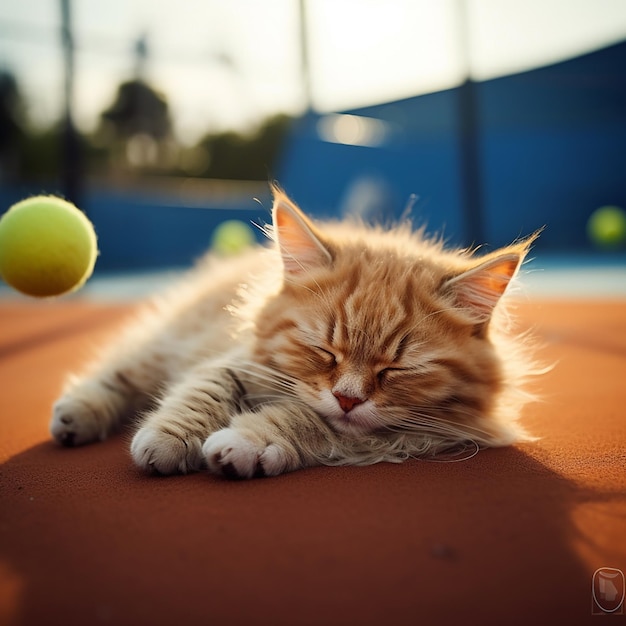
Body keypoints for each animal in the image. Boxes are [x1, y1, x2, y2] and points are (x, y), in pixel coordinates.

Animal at [50, 183, 536, 476]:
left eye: (396, 370)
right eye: (325, 351)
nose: (347, 399)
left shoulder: (413, 433)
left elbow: (303, 420)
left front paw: (244, 443)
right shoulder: (237, 363)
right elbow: (198, 397)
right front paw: (169, 440)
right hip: (167, 341)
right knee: (121, 374)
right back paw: (76, 415)